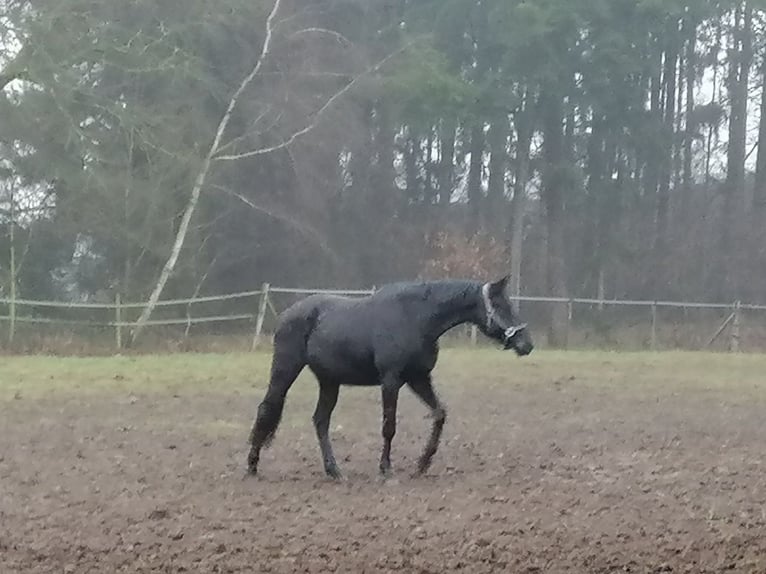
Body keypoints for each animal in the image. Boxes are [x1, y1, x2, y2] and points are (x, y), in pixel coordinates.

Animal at [246, 276, 536, 482]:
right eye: (500, 305)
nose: (527, 344)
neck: (415, 318)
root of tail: (287, 314)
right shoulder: (391, 380)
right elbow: (389, 426)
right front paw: (386, 470)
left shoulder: (419, 378)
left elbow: (439, 413)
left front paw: (422, 464)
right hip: (286, 370)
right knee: (267, 408)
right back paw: (252, 466)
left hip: (329, 381)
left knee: (320, 421)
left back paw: (335, 471)